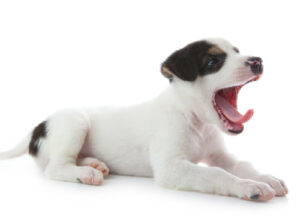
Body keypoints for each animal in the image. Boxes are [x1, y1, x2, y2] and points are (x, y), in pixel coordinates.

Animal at [0, 38, 288, 202]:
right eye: (213, 61)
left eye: (237, 51)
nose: (257, 61)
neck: (193, 118)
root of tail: (37, 127)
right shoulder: (171, 168)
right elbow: (217, 174)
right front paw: (249, 186)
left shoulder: (218, 154)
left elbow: (241, 164)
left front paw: (265, 178)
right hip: (74, 122)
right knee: (55, 167)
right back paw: (86, 173)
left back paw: (94, 163)